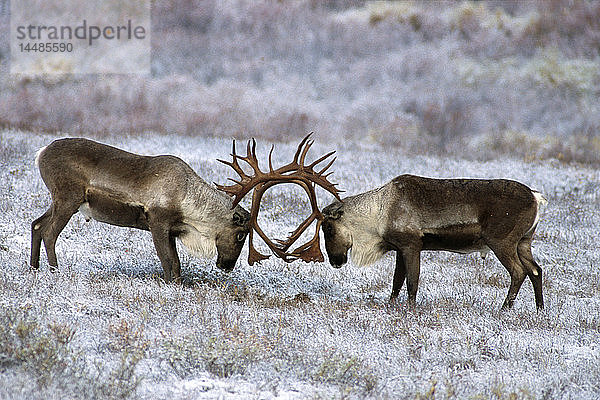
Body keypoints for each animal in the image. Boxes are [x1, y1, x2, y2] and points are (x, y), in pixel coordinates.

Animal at [29, 138, 251, 282]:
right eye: (241, 235)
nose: (227, 266)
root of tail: (41, 152)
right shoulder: (158, 222)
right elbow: (167, 260)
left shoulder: (171, 231)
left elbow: (177, 263)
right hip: (68, 199)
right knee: (49, 233)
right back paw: (55, 272)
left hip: (59, 201)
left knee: (36, 224)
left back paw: (33, 268)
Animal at [324, 174, 548, 310]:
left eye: (328, 228)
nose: (335, 261)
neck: (380, 213)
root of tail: (535, 197)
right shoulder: (400, 249)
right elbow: (396, 282)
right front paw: (391, 306)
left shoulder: (412, 246)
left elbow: (412, 281)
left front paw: (411, 310)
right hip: (524, 241)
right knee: (536, 270)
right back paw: (540, 309)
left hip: (502, 242)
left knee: (519, 271)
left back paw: (503, 309)